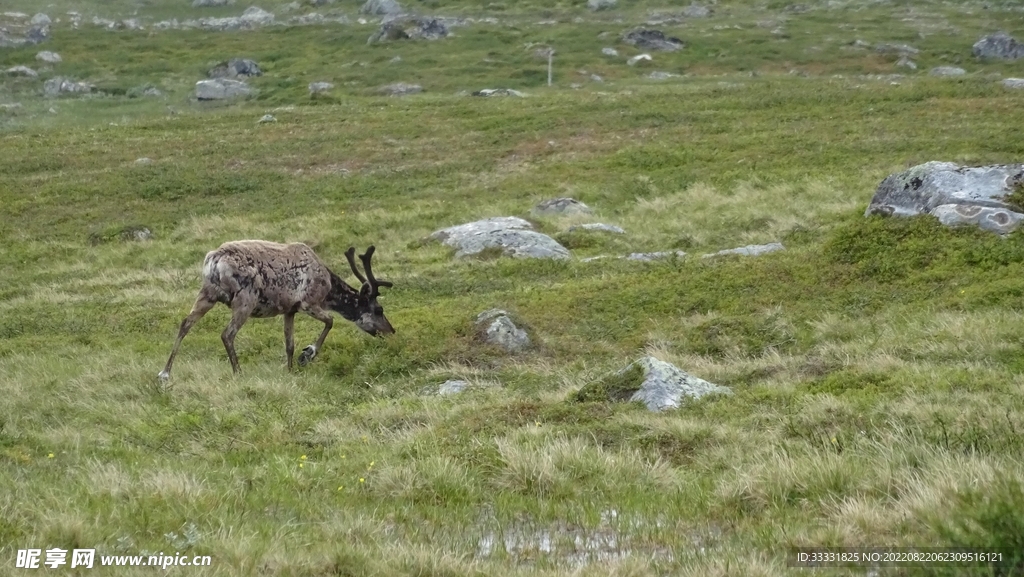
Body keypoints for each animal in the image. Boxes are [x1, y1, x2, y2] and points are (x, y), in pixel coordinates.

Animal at [158, 241, 394, 381]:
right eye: (378, 309)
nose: (391, 331)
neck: (328, 288)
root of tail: (213, 262)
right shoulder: (308, 303)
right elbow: (330, 322)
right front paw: (307, 355)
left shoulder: (289, 310)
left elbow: (289, 345)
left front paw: (289, 370)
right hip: (246, 298)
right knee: (227, 334)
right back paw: (239, 373)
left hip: (207, 293)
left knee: (185, 323)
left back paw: (165, 373)